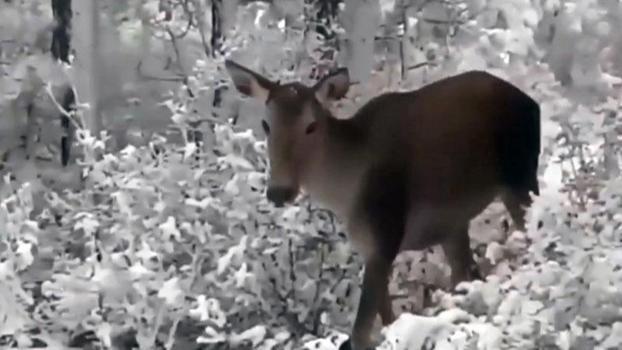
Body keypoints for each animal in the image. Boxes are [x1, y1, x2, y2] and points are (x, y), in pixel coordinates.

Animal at [224, 58, 540, 348]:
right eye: (266, 124)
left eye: (311, 126)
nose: (279, 191)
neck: (344, 194)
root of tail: (532, 103)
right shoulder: (368, 246)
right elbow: (387, 319)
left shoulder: (386, 233)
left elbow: (360, 333)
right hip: (455, 224)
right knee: (466, 273)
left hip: (521, 177)